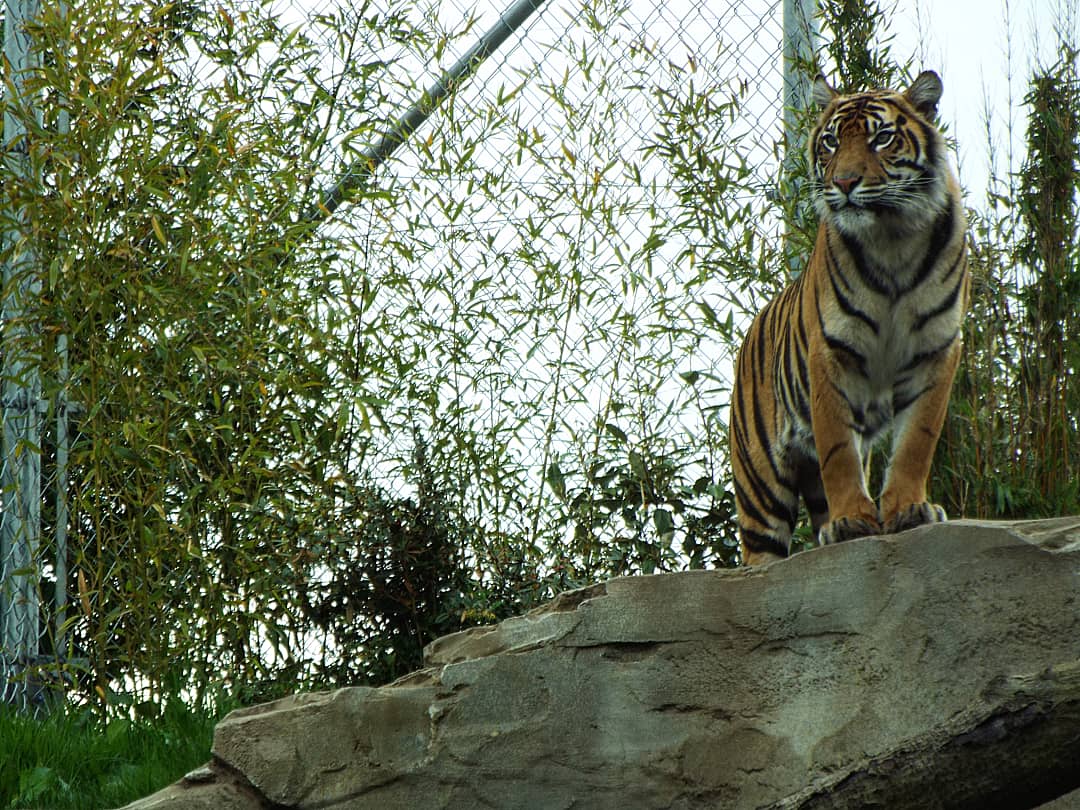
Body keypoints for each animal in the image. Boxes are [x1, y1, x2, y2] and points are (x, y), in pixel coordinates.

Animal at [729, 70, 969, 566]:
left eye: (882, 138)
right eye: (831, 142)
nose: (843, 182)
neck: (893, 237)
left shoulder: (937, 350)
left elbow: (916, 440)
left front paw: (909, 510)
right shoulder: (832, 351)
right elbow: (837, 447)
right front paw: (851, 523)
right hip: (760, 486)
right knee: (760, 556)